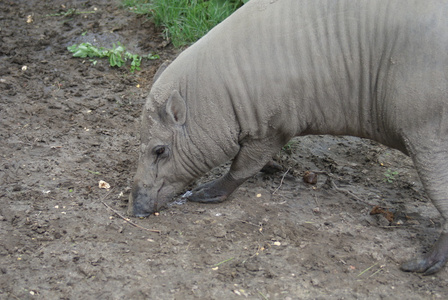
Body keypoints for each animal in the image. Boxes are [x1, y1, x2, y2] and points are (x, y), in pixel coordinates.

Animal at [127, 0, 448, 276]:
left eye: (159, 150)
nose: (135, 211)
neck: (225, 96)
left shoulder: (272, 129)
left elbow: (242, 166)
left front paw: (204, 193)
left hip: (428, 139)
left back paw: (423, 265)